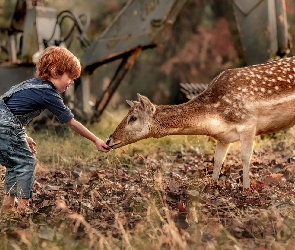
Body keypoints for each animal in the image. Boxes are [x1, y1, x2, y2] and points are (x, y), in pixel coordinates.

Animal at [106, 56, 295, 188]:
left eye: (132, 117)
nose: (109, 140)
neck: (216, 117)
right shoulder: (224, 137)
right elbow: (218, 159)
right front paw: (212, 185)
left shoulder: (248, 123)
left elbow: (246, 157)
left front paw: (246, 189)